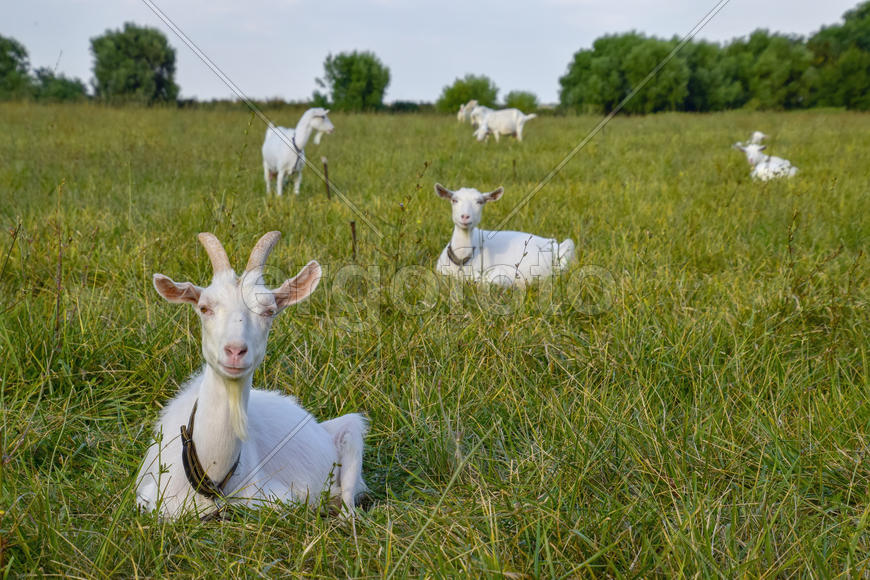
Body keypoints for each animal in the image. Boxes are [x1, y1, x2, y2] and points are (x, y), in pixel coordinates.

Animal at [136, 231, 367, 519]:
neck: (212, 474)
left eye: (269, 311)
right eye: (204, 308)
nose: (235, 350)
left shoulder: (276, 497)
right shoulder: (147, 497)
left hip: (352, 430)